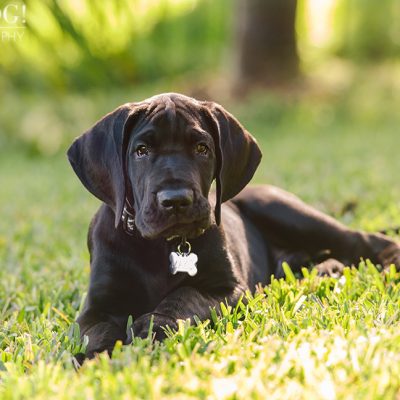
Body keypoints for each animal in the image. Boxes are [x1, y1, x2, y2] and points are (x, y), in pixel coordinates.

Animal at [69, 91, 400, 360]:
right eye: (141, 151)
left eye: (202, 148)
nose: (176, 200)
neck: (161, 247)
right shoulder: (95, 307)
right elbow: (97, 332)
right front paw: (96, 358)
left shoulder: (229, 289)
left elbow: (184, 295)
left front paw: (151, 325)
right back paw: (323, 271)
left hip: (284, 210)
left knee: (362, 240)